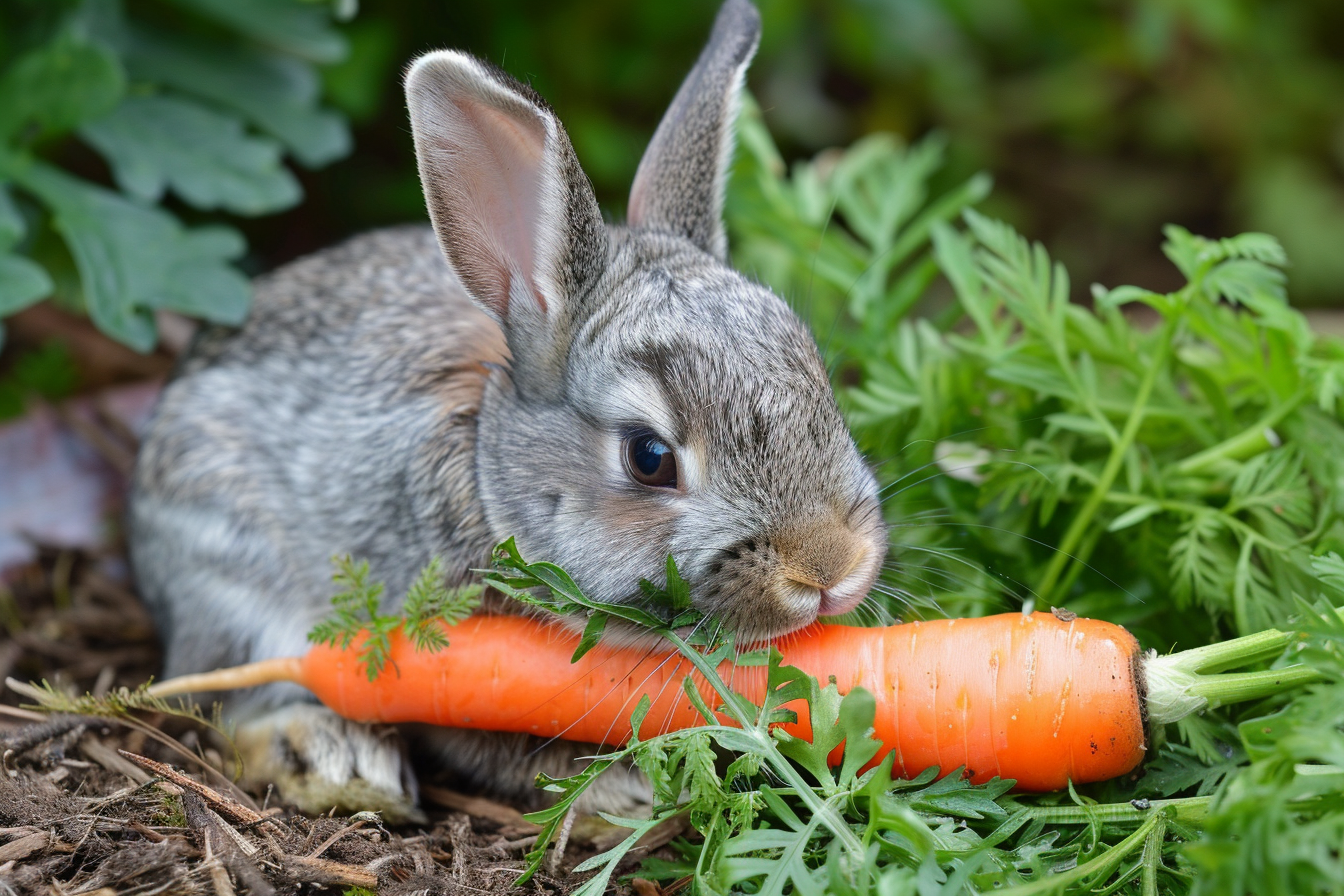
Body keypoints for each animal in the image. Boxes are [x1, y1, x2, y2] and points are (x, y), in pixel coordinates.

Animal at [128, 0, 887, 821]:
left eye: (818, 378)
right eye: (649, 458)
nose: (830, 567)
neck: (491, 479)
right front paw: (619, 792)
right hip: (232, 573)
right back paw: (336, 759)